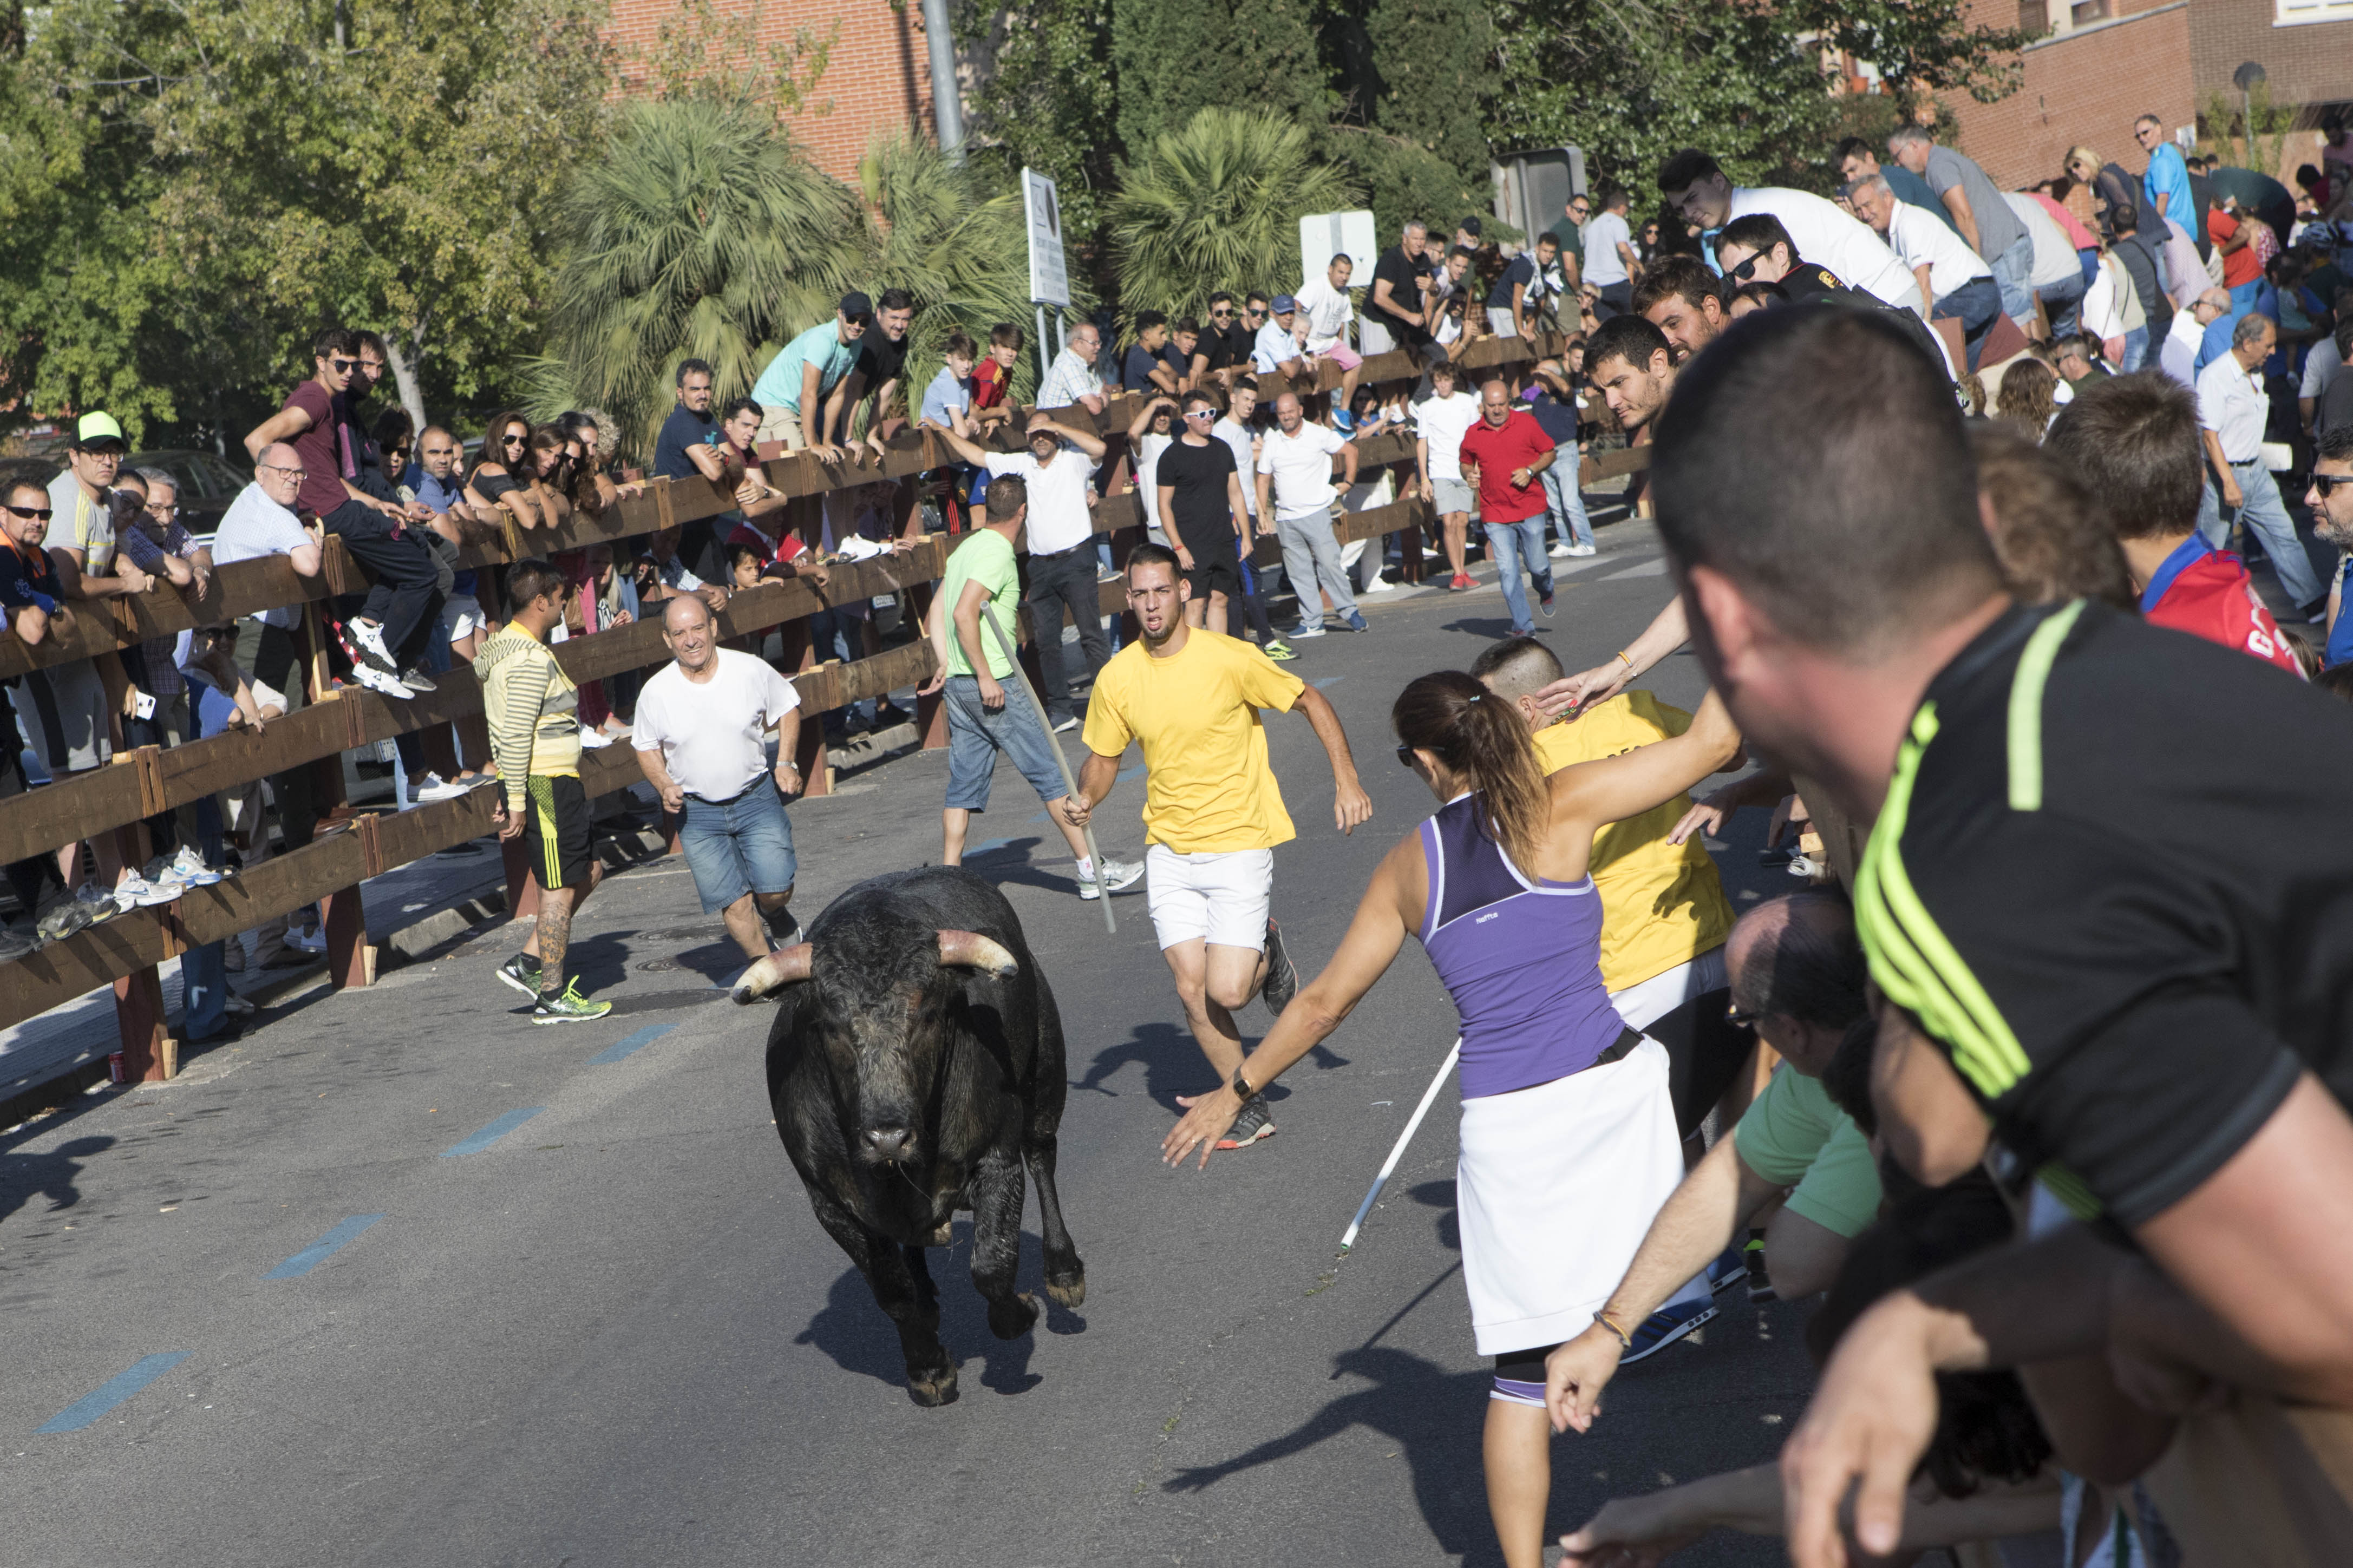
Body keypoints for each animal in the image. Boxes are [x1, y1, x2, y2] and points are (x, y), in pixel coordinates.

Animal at [734, 870, 1082, 1410]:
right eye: (830, 1025)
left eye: (930, 1015)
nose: (888, 1138)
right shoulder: (831, 1200)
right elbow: (892, 1290)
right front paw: (928, 1367)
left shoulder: (998, 1158)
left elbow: (992, 1263)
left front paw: (1019, 1312)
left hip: (1046, 1073)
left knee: (1044, 1156)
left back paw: (1064, 1272)